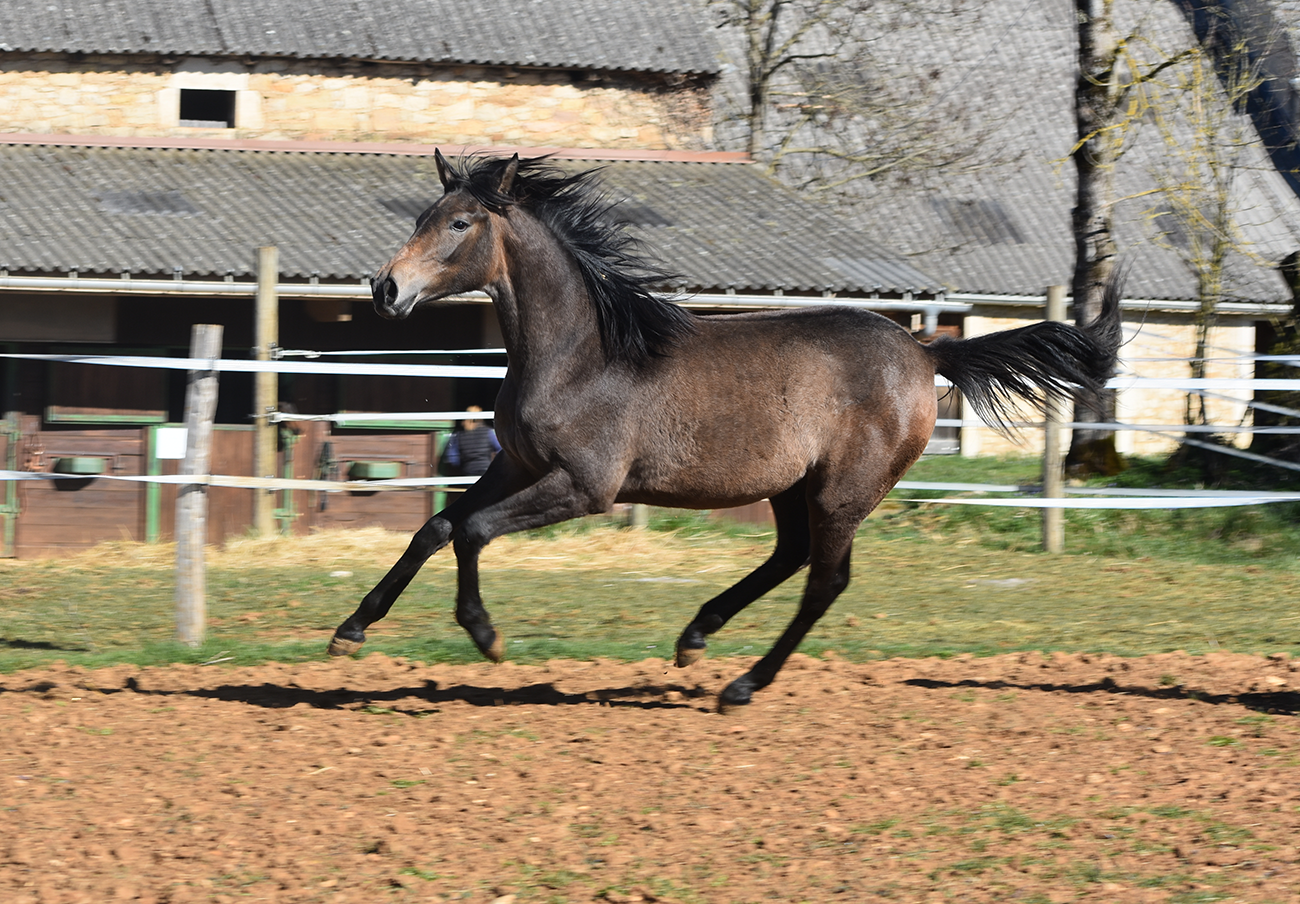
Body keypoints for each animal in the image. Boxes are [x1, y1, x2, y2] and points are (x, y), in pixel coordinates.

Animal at [328, 151, 1122, 710]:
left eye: (460, 224)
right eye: (424, 214)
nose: (385, 288)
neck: (583, 354)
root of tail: (927, 352)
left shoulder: (583, 487)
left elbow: (471, 531)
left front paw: (487, 637)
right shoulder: (515, 465)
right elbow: (435, 527)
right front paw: (350, 631)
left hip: (843, 491)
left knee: (825, 579)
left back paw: (741, 686)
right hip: (790, 487)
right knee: (790, 558)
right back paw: (695, 638)